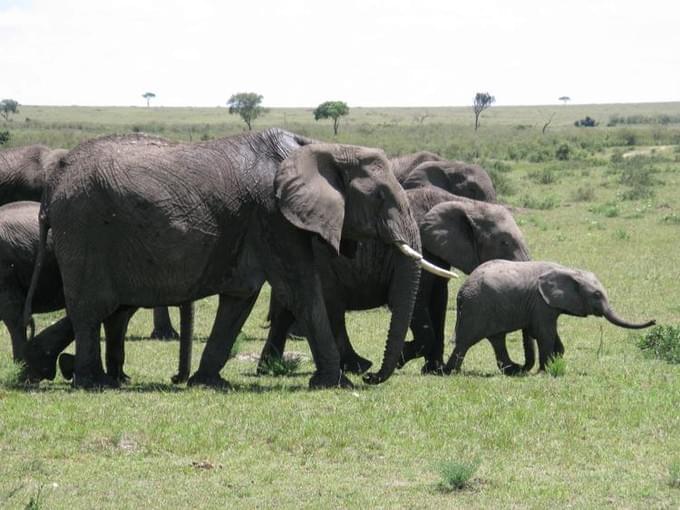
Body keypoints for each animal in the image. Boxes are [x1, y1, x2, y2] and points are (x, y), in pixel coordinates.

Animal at [25, 129, 452, 388]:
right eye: (379, 197)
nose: (371, 377)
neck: (317, 148)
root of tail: (53, 187)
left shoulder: (257, 222)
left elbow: (241, 297)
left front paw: (209, 383)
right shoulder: (273, 214)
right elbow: (301, 291)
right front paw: (337, 384)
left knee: (105, 309)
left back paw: (54, 368)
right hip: (83, 230)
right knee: (90, 309)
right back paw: (89, 382)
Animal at [258, 186, 528, 374]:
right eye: (504, 242)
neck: (464, 203)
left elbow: (439, 301)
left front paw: (433, 370)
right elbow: (419, 302)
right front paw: (402, 358)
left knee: (286, 312)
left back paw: (268, 369)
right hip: (321, 263)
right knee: (332, 308)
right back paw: (360, 367)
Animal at [444, 258, 656, 374]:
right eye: (597, 295)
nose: (654, 320)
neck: (569, 270)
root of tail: (462, 291)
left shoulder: (546, 306)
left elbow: (551, 334)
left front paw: (556, 361)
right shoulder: (541, 303)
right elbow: (544, 333)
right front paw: (546, 370)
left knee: (497, 339)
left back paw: (512, 370)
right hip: (476, 308)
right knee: (466, 341)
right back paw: (449, 372)